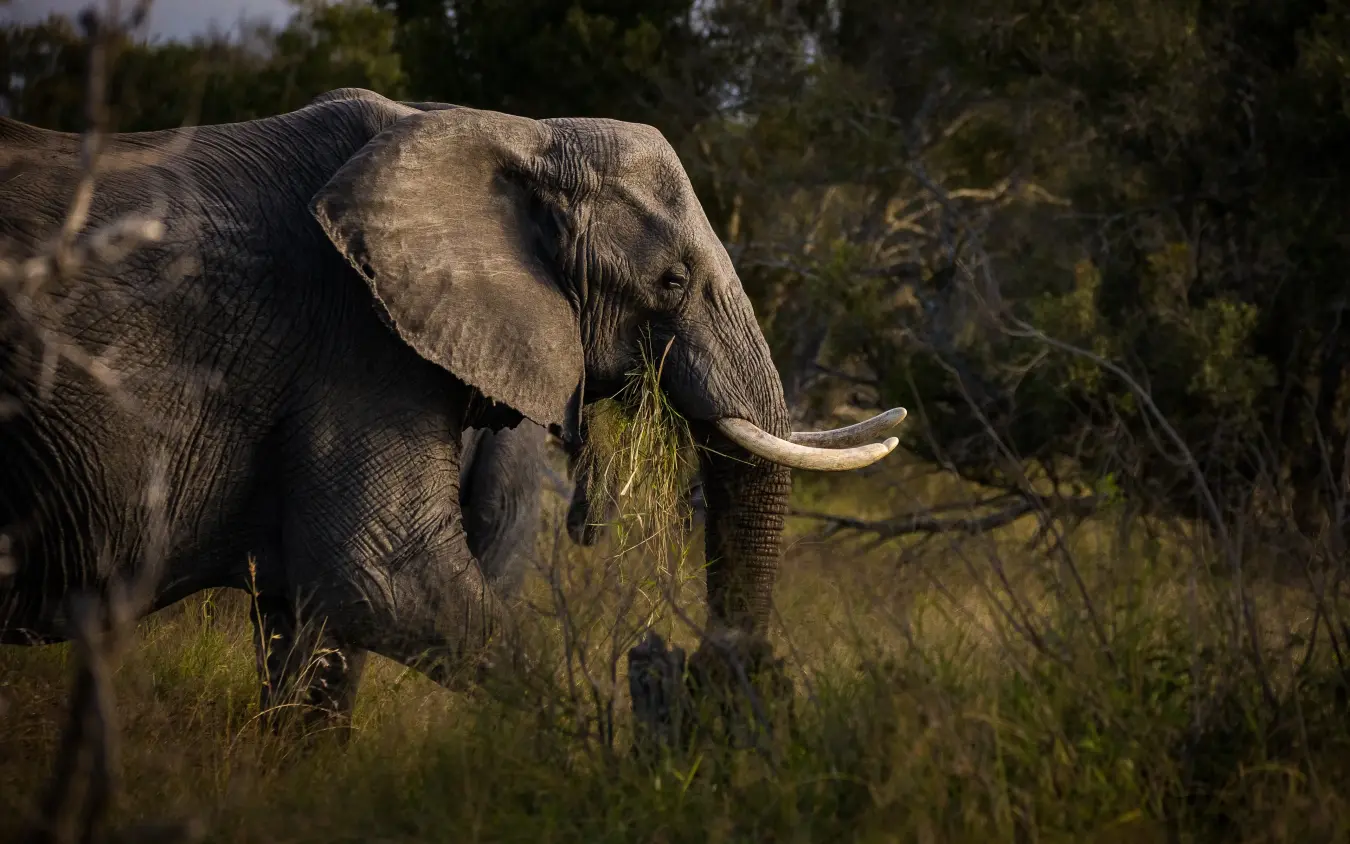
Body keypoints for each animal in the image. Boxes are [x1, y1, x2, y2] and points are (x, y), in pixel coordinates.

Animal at [0, 86, 904, 735]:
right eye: (671, 283)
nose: (711, 679)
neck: (514, 134)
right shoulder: (354, 341)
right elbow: (390, 583)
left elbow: (320, 635)